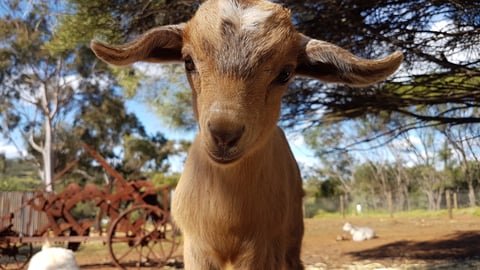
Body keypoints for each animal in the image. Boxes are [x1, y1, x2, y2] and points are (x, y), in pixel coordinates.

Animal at [90, 0, 402, 268]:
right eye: (188, 61)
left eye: (285, 73)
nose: (224, 135)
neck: (226, 216)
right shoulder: (195, 247)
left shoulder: (264, 246)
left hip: (293, 233)